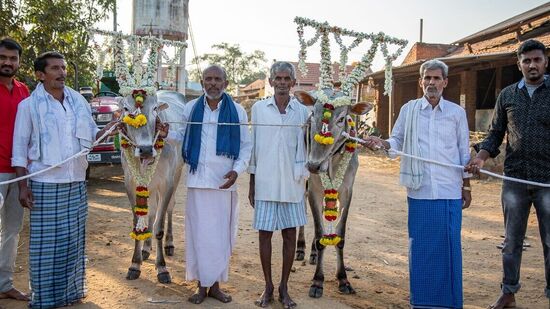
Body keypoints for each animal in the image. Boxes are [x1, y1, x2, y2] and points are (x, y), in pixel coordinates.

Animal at [119, 88, 187, 282]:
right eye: (126, 109)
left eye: (155, 108)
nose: (146, 150)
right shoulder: (130, 183)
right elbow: (138, 223)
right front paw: (134, 264)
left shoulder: (166, 184)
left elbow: (159, 228)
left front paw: (162, 268)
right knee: (152, 212)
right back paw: (146, 248)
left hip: (177, 174)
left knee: (169, 208)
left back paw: (169, 244)